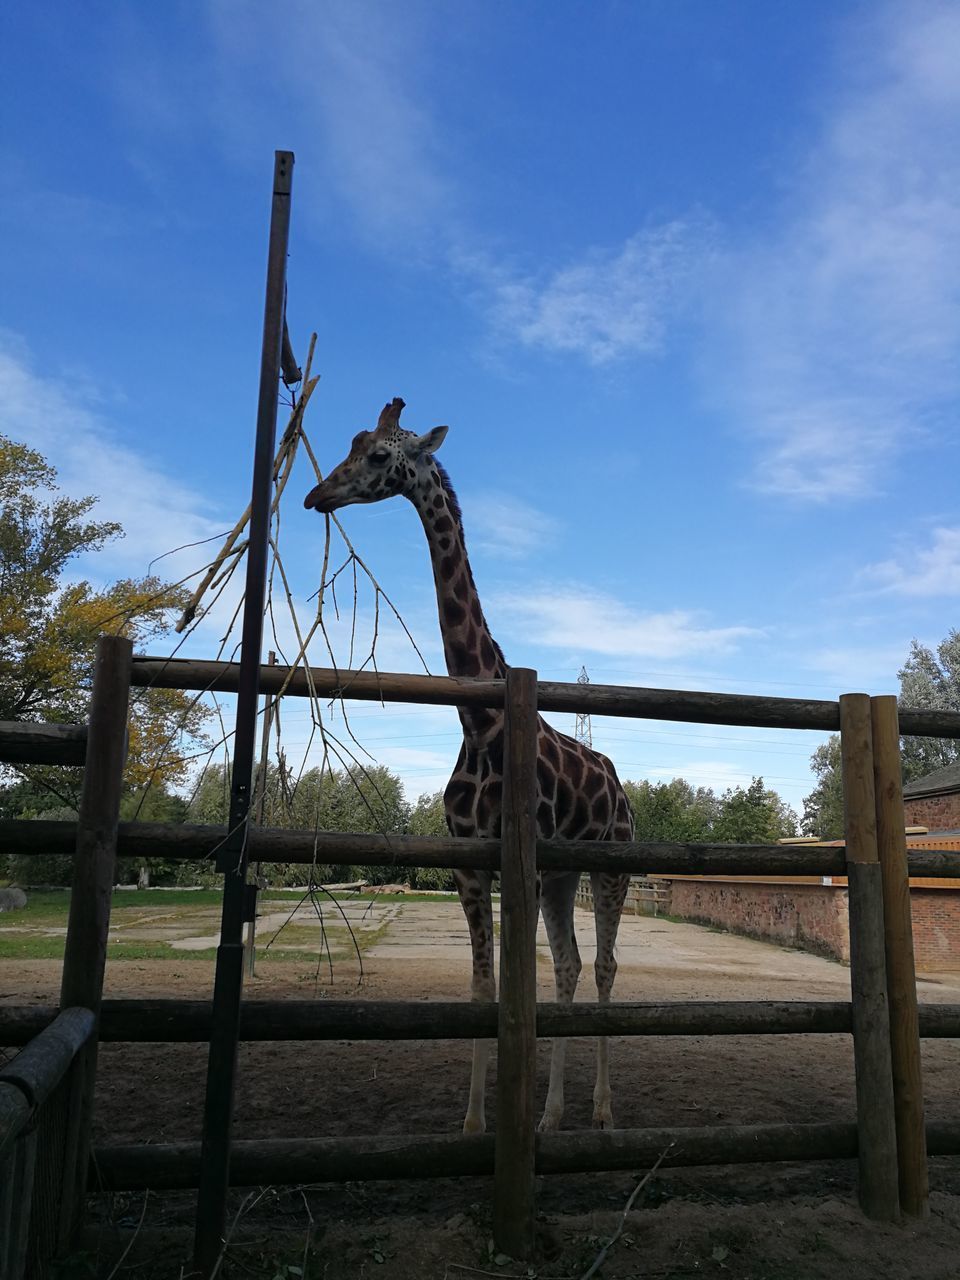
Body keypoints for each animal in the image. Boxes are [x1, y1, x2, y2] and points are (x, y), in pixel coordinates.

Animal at [304, 399, 634, 1131]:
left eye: (378, 454)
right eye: (352, 442)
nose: (316, 495)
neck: (480, 723)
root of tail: (623, 790)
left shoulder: (521, 864)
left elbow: (518, 986)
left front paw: (509, 1116)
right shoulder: (470, 862)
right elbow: (484, 985)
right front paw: (477, 1123)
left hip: (611, 866)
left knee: (602, 966)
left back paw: (600, 1110)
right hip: (565, 874)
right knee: (571, 965)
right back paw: (552, 1115)